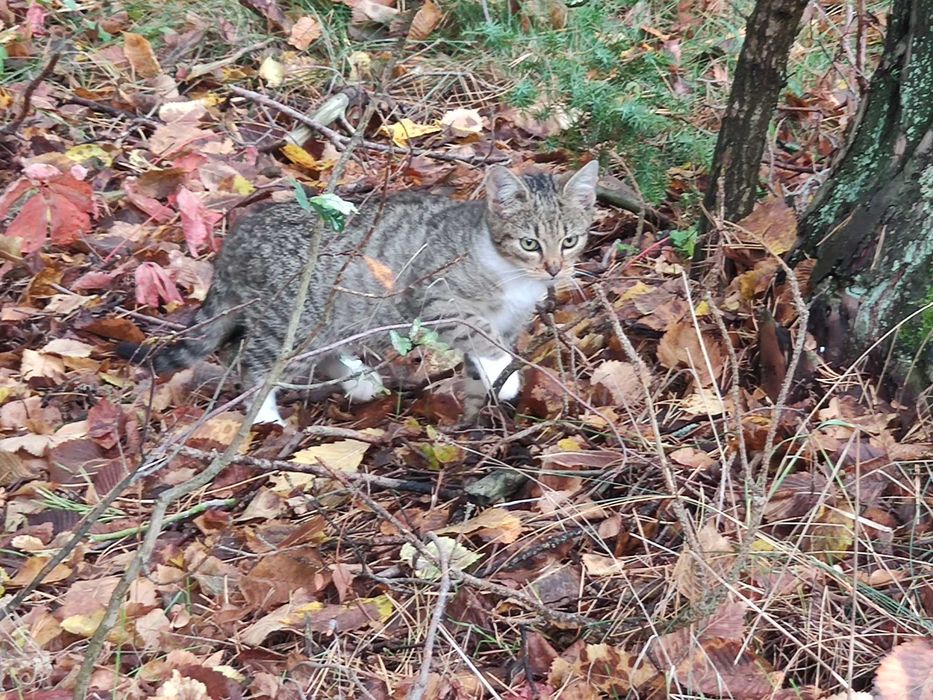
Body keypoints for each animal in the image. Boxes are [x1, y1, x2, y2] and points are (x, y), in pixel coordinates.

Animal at [122, 164, 596, 424]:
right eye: (530, 243)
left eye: (570, 241)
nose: (554, 269)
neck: (511, 275)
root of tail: (241, 232)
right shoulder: (434, 295)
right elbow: (477, 329)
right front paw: (502, 371)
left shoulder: (512, 319)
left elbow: (478, 365)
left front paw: (478, 407)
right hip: (293, 319)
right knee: (251, 360)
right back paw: (264, 415)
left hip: (337, 317)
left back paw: (358, 378)